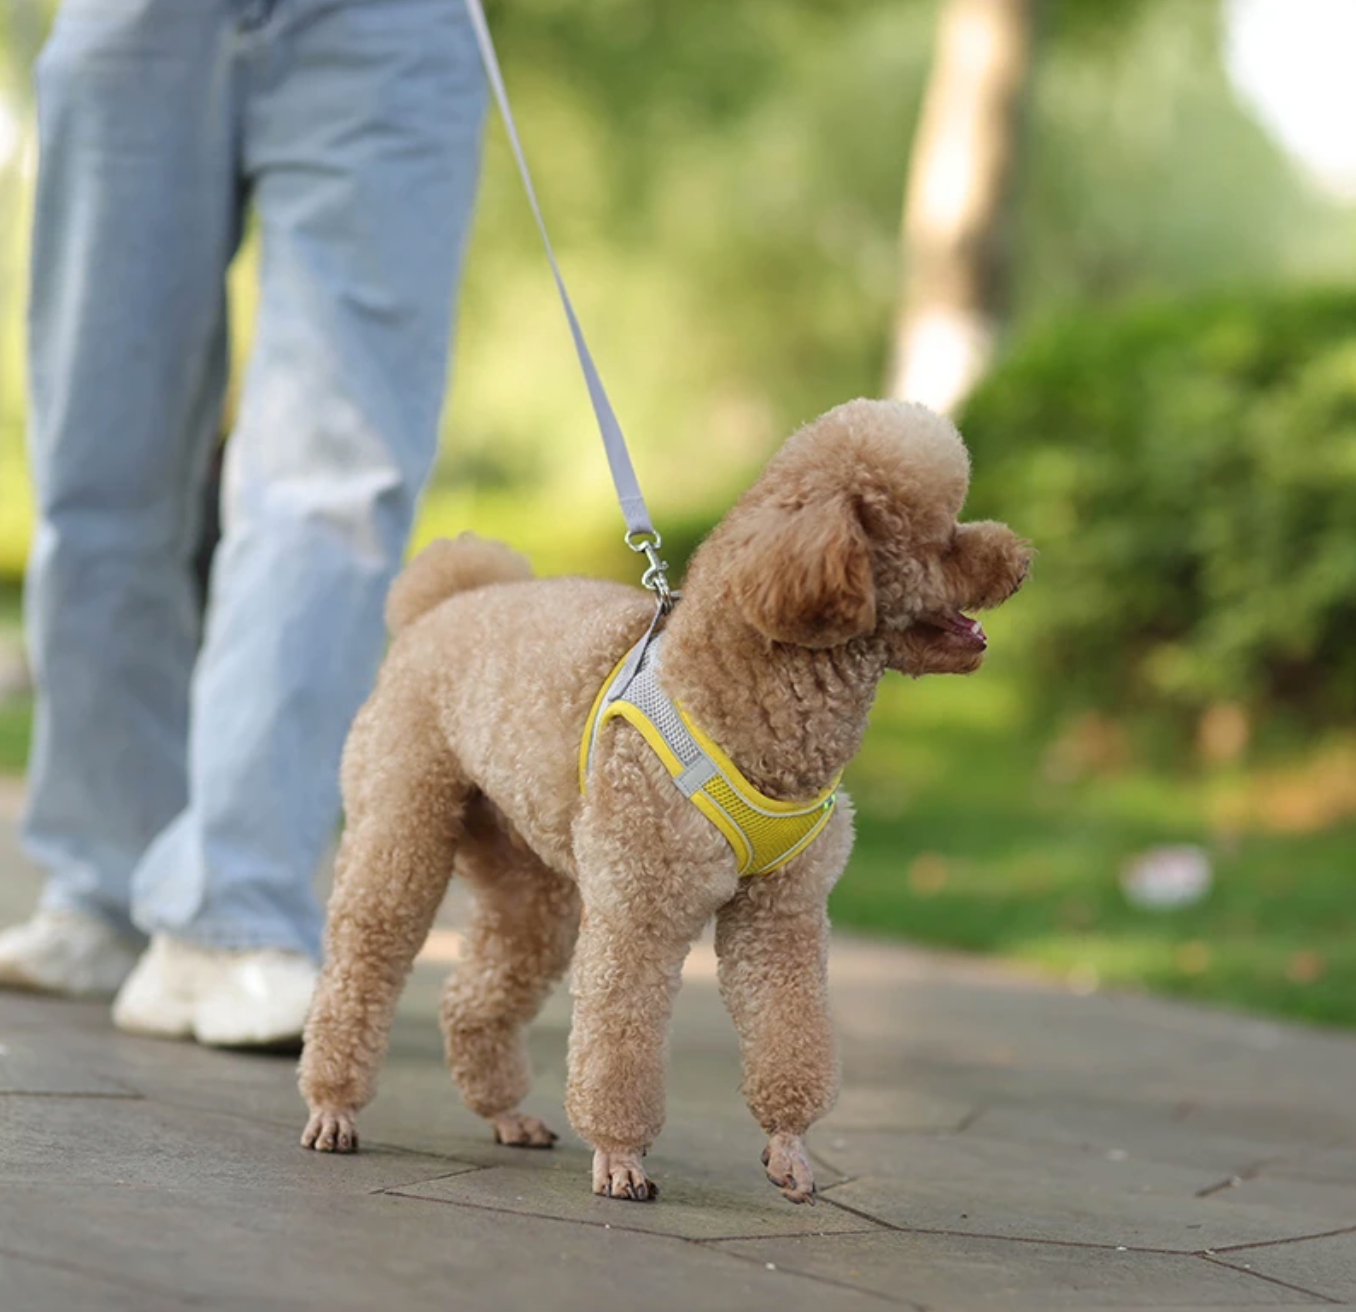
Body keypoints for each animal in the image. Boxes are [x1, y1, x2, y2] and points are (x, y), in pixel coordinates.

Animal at [302, 398, 1030, 1198]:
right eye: (943, 537)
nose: (1023, 557)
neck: (746, 690)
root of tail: (444, 602)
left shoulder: (783, 914)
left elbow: (789, 1030)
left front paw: (790, 1146)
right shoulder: (641, 906)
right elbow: (620, 1038)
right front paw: (621, 1157)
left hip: (529, 878)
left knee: (477, 991)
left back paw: (504, 1113)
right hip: (401, 823)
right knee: (365, 957)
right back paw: (333, 1105)